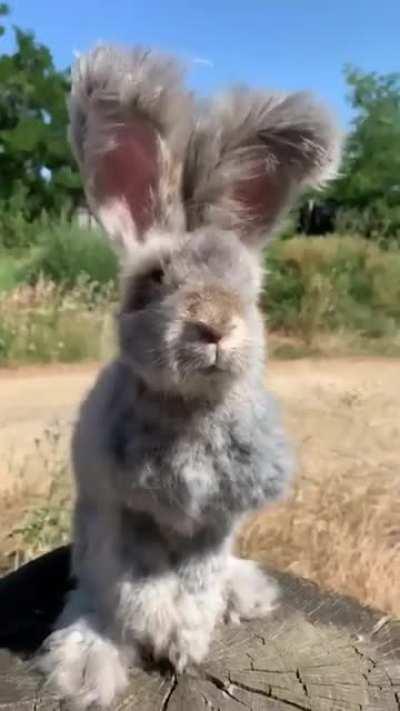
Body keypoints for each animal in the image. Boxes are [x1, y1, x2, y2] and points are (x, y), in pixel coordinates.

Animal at [37, 44, 342, 709]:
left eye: (250, 288)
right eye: (154, 280)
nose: (215, 325)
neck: (190, 408)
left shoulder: (214, 523)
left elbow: (196, 584)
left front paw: (186, 642)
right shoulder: (122, 515)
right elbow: (138, 587)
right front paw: (157, 633)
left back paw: (243, 596)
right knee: (94, 598)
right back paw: (88, 665)